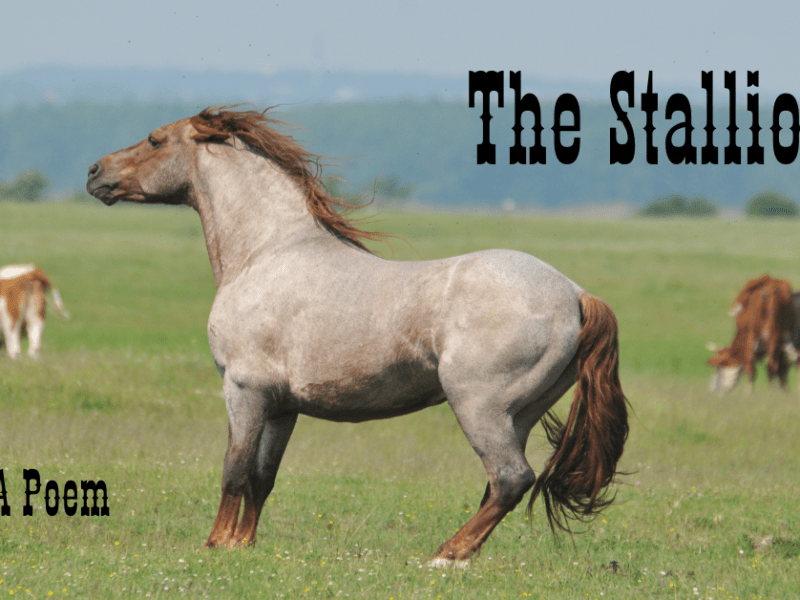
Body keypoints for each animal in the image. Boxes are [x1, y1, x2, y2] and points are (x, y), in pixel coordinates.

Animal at [86, 106, 629, 565]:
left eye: (155, 139)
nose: (94, 173)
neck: (268, 252)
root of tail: (575, 294)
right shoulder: (281, 406)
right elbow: (262, 477)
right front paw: (243, 544)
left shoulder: (243, 389)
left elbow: (233, 469)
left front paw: (216, 543)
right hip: (521, 415)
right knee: (499, 486)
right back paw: (460, 553)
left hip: (479, 407)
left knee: (511, 479)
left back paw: (444, 556)